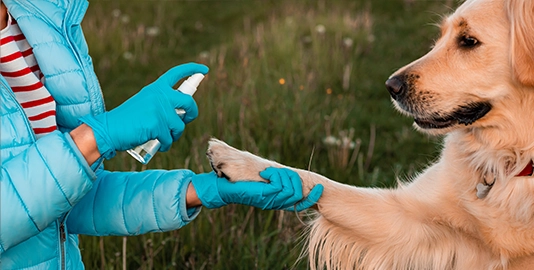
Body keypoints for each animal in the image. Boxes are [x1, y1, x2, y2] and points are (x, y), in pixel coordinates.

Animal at [206, 1, 534, 268]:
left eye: (468, 41)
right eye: (440, 38)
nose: (392, 86)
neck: (512, 162)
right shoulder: (404, 220)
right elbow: (322, 182)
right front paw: (237, 160)